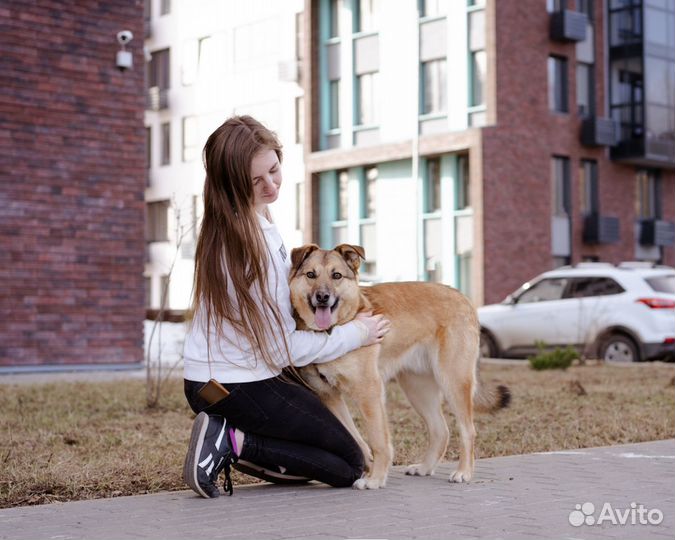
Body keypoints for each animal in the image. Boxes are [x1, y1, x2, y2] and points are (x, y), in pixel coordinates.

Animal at [288, 244, 510, 490]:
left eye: (336, 275)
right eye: (311, 275)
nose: (322, 297)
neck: (334, 331)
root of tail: (463, 297)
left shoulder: (369, 392)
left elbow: (378, 439)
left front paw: (375, 478)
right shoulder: (329, 396)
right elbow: (354, 437)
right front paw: (369, 466)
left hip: (453, 381)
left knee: (467, 430)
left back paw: (464, 472)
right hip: (417, 389)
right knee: (440, 430)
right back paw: (425, 467)